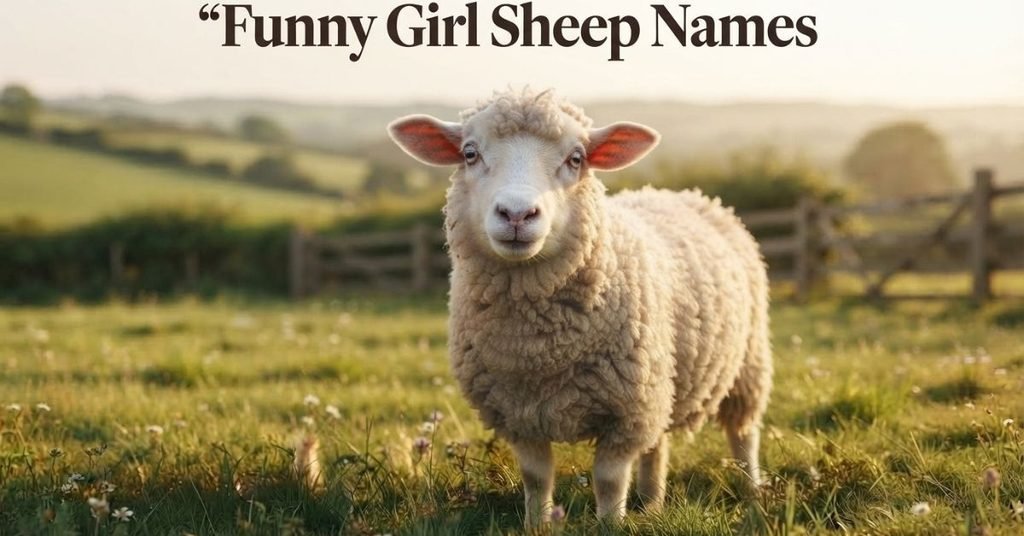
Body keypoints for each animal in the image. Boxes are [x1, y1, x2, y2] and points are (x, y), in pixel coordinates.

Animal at [388, 88, 772, 526]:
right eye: (469, 153)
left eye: (576, 158)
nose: (517, 213)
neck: (540, 348)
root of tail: (687, 195)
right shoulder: (519, 412)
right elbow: (536, 478)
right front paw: (536, 526)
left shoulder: (626, 411)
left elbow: (608, 481)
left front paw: (611, 525)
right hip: (662, 377)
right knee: (657, 443)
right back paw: (652, 502)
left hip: (745, 362)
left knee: (743, 431)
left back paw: (751, 489)